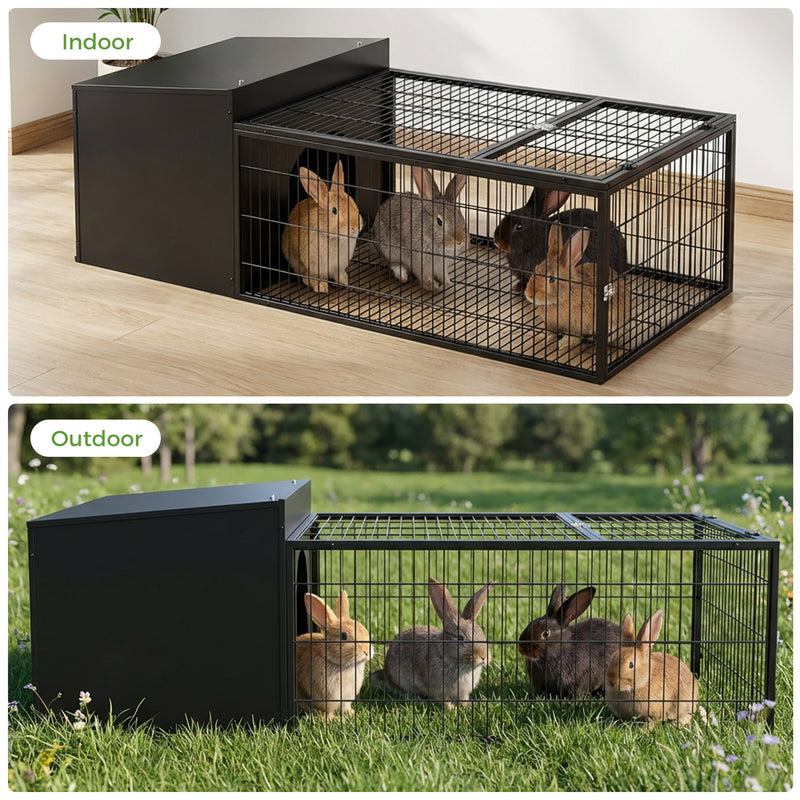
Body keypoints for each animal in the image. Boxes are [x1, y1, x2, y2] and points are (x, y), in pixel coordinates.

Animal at [281, 161, 363, 294]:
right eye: (334, 210)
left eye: (352, 202)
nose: (355, 227)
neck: (331, 235)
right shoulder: (313, 266)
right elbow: (313, 277)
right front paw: (322, 287)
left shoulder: (338, 266)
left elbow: (339, 275)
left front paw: (345, 282)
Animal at [295, 590, 373, 720]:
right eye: (343, 636)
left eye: (365, 630)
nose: (366, 651)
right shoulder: (324, 699)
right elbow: (327, 710)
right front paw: (332, 719)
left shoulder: (347, 698)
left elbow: (346, 707)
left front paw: (351, 714)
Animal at [370, 578, 493, 709]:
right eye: (460, 638)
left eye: (482, 634)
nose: (484, 657)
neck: (447, 655)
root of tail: (385, 673)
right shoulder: (438, 689)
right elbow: (443, 700)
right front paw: (451, 709)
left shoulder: (463, 692)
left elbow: (463, 699)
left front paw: (467, 706)